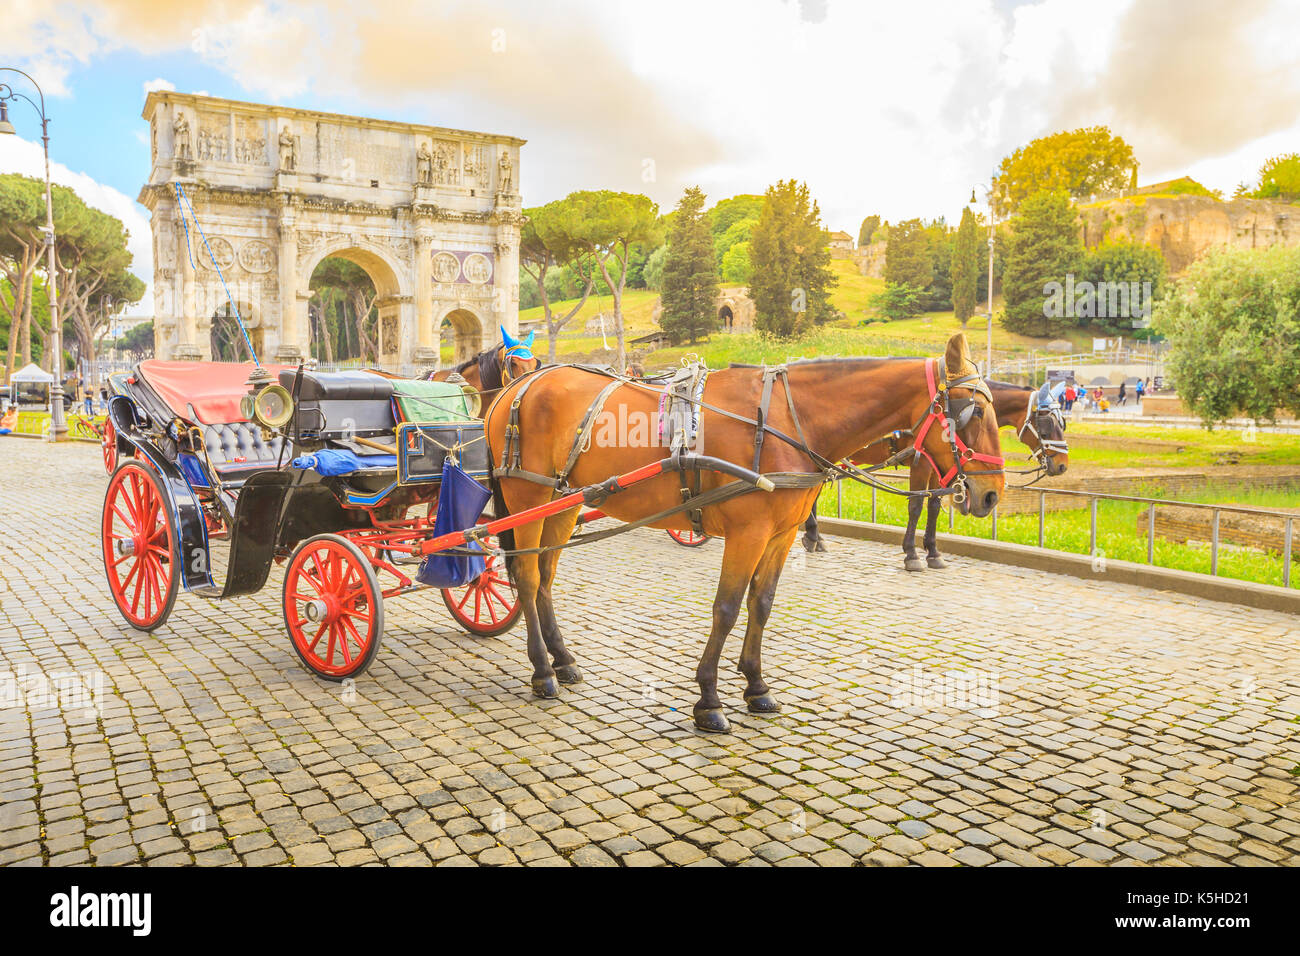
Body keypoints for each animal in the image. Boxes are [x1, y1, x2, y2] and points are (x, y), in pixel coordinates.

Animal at [483, 330, 998, 733]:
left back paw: (562, 659)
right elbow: (727, 608)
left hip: (563, 502)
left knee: (545, 578)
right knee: (526, 578)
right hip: (527, 498)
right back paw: (542, 670)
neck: (788, 420)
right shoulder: (748, 533)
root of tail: (519, 385)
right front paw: (709, 699)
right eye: (973, 412)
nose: (992, 495)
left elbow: (761, 604)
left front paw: (755, 684)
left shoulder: (781, 535)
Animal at [800, 379, 1066, 567]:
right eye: (1047, 423)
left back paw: (815, 536)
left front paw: (933, 550)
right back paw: (813, 535)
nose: (1063, 464)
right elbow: (917, 504)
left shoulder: (941, 469)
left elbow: (935, 505)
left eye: (1063, 422)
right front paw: (911, 552)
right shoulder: (922, 464)